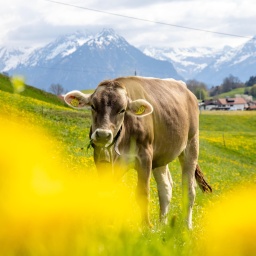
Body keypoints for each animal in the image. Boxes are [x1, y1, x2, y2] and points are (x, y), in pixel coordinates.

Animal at [64, 76, 212, 228]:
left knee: (189, 189)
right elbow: (108, 192)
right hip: (160, 156)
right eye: (93, 106)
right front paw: (108, 224)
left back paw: (186, 227)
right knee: (165, 188)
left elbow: (142, 193)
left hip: (191, 143)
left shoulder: (145, 157)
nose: (103, 135)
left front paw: (146, 226)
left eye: (122, 110)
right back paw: (163, 225)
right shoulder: (101, 159)